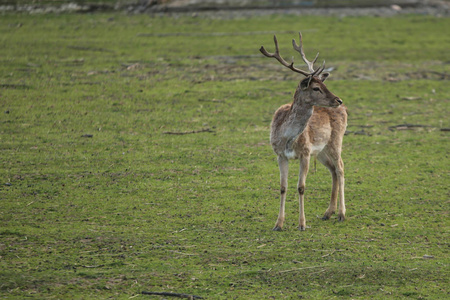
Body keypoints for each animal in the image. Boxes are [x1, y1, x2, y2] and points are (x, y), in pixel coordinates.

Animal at [260, 32, 348, 231]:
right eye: (316, 88)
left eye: (323, 84)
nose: (338, 99)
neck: (287, 138)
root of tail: (345, 110)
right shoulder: (280, 155)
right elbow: (283, 187)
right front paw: (278, 224)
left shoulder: (306, 153)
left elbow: (301, 187)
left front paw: (302, 224)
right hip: (321, 151)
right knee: (333, 170)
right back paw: (328, 213)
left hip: (335, 141)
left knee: (340, 168)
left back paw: (341, 214)